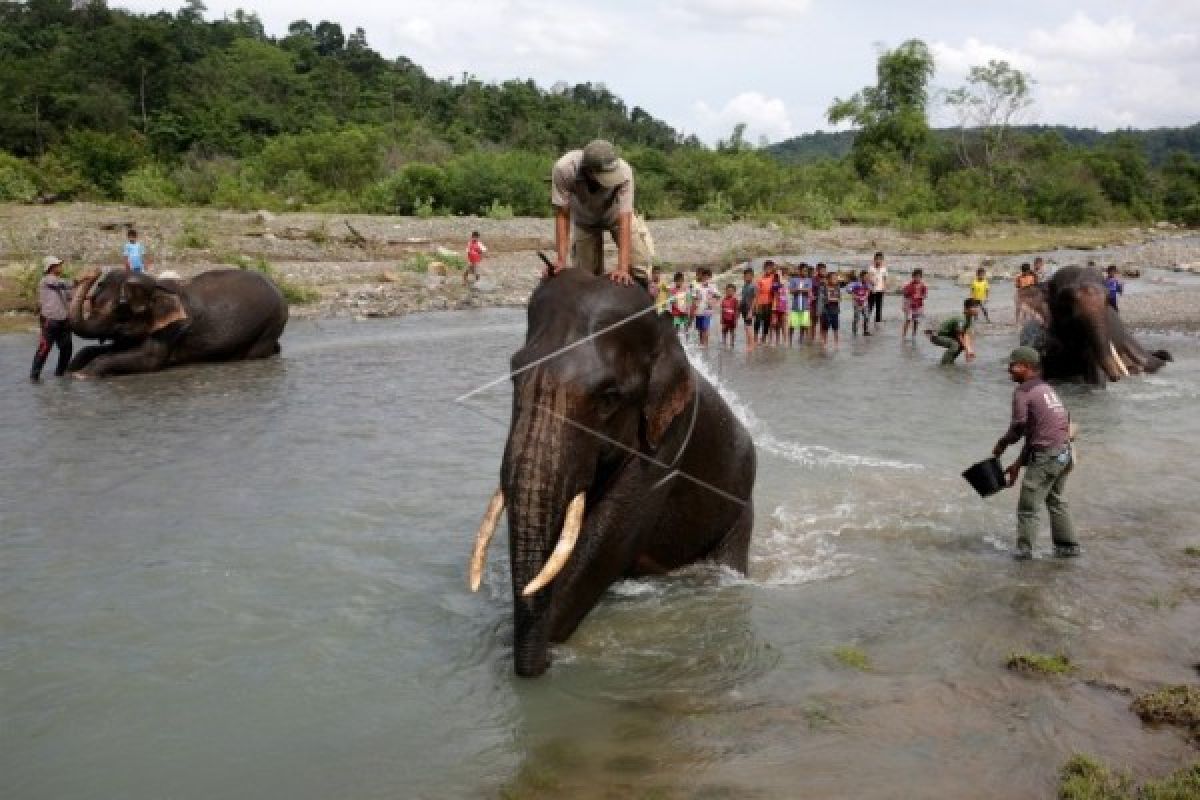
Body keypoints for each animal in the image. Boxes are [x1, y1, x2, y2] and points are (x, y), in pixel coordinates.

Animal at [68, 267, 288, 376]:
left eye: (122, 311)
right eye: (93, 299)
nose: (91, 273)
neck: (158, 285)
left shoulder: (173, 328)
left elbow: (149, 359)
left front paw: (82, 376)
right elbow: (106, 350)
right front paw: (71, 371)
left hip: (272, 322)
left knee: (255, 352)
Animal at [465, 267, 753, 676]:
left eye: (609, 398)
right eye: (514, 376)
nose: (536, 665)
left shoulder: (666, 443)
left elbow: (608, 538)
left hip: (740, 507)